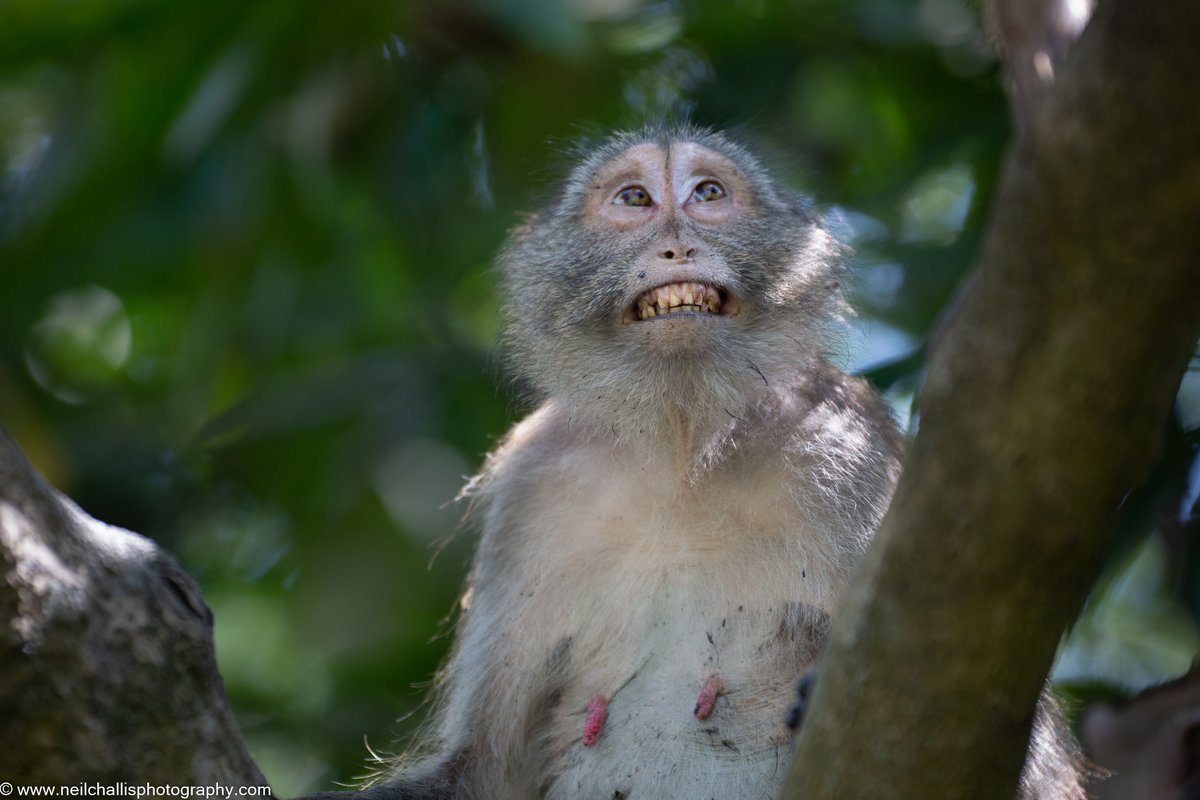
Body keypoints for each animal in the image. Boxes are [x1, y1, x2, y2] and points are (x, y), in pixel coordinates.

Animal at [323, 123, 1083, 800]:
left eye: (708, 193)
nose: (677, 243)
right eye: (634, 199)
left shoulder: (846, 446)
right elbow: (481, 769)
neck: (682, 452)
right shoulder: (535, 490)